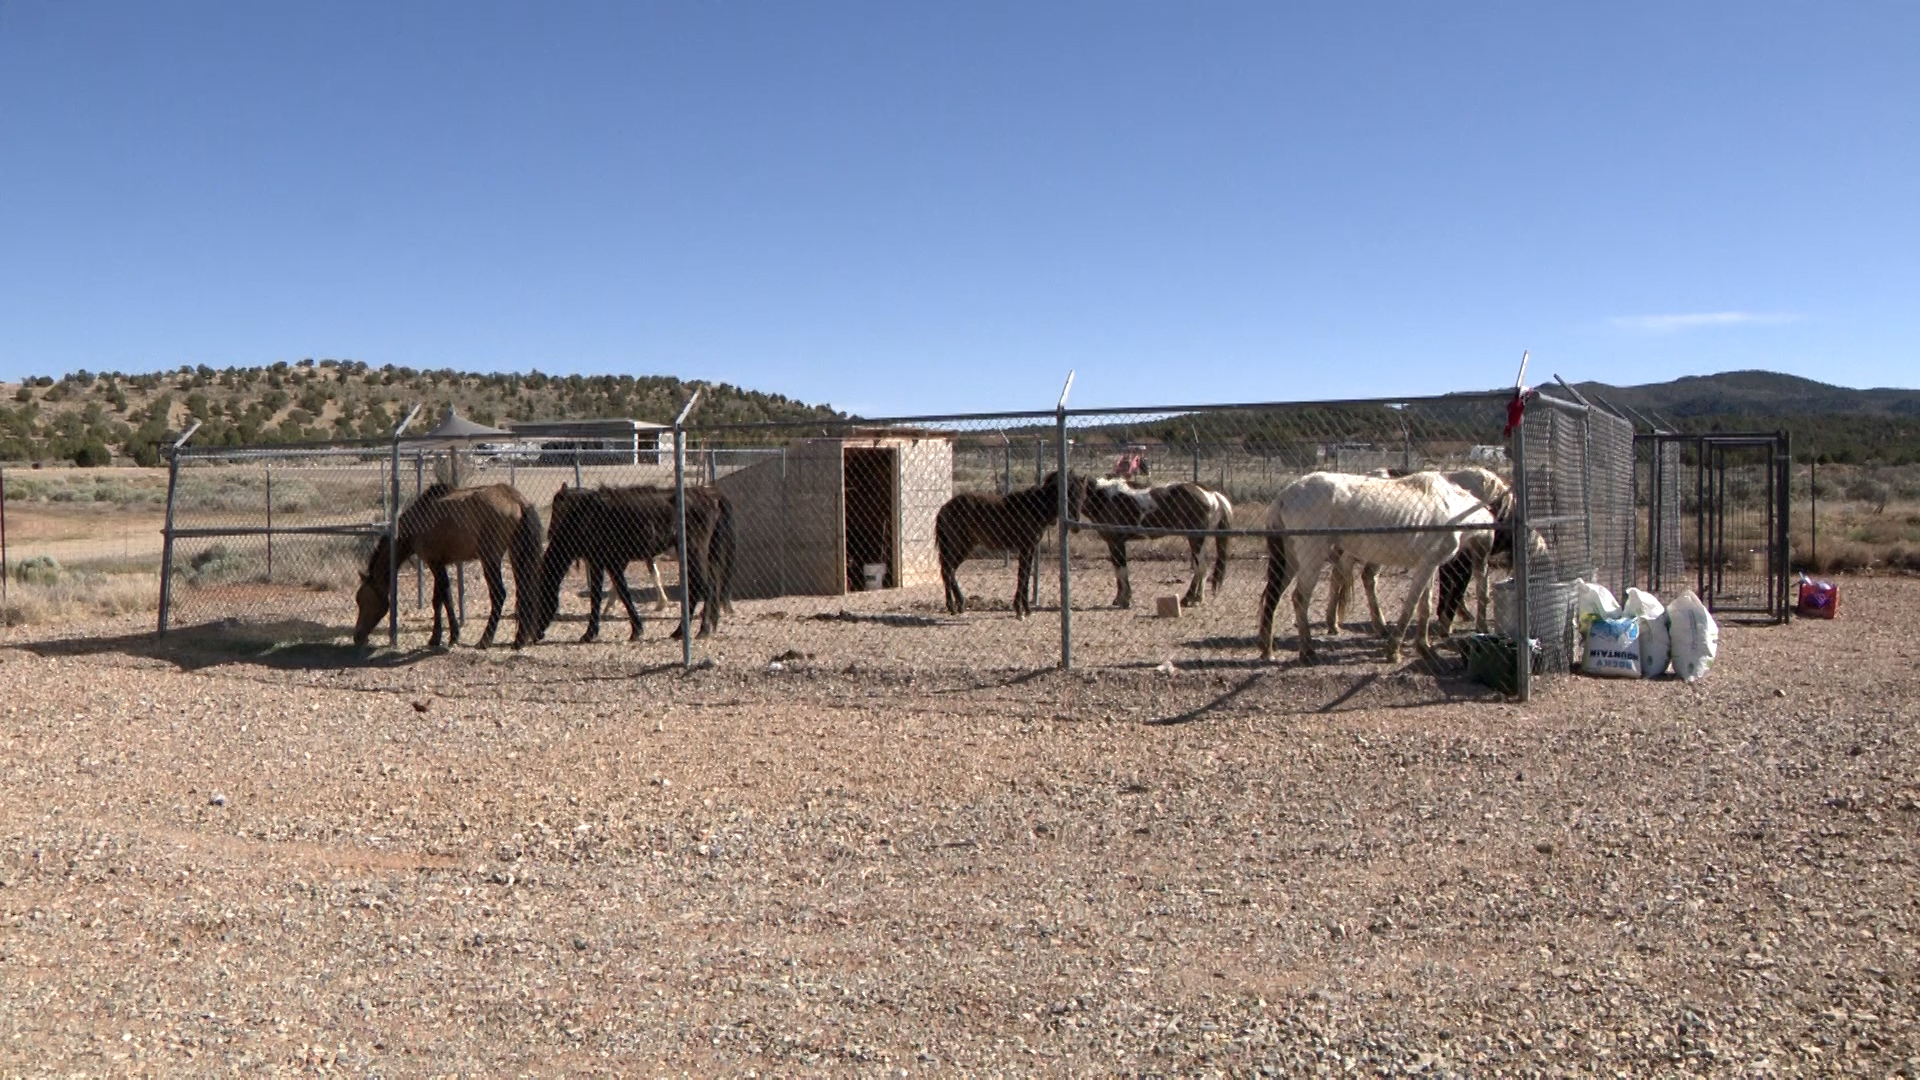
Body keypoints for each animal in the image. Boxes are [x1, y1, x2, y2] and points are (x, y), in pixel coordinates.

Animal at [353, 483, 545, 650]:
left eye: (364, 600)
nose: (357, 637)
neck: (418, 519)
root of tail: (517, 500)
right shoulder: (439, 563)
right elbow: (442, 598)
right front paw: (444, 636)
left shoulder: (434, 563)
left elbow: (442, 597)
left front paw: (445, 637)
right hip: (517, 553)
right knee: (525, 591)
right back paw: (519, 640)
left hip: (490, 558)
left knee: (499, 594)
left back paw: (485, 640)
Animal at [526, 483, 734, 643]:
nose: (534, 635)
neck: (583, 518)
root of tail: (711, 496)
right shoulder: (607, 563)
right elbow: (616, 593)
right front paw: (633, 629)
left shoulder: (604, 562)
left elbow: (609, 595)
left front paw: (592, 634)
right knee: (704, 587)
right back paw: (684, 631)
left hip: (694, 552)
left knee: (703, 587)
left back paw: (702, 630)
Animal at [936, 471, 1077, 618]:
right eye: (1068, 493)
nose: (1075, 525)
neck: (1034, 508)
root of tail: (944, 507)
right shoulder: (1025, 547)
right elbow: (1022, 575)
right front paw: (1020, 610)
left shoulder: (1031, 548)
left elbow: (1026, 575)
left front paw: (1025, 609)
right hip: (957, 545)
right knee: (947, 570)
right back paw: (953, 606)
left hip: (965, 547)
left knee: (949, 570)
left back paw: (958, 605)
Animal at [1074, 477, 1232, 608]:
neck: (1106, 498)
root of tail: (1212, 494)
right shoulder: (1114, 543)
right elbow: (1119, 570)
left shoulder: (1116, 542)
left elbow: (1121, 570)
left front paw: (1122, 599)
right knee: (1199, 569)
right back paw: (1188, 599)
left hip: (1196, 539)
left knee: (1202, 568)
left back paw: (1197, 599)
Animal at [1257, 471, 1495, 664]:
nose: (1483, 568)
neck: (1453, 508)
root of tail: (1284, 495)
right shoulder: (1426, 566)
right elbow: (1411, 606)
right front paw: (1394, 650)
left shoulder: (1429, 565)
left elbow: (1424, 607)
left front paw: (1424, 648)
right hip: (1311, 557)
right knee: (1299, 598)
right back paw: (1307, 651)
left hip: (1289, 560)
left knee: (1273, 596)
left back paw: (1267, 649)